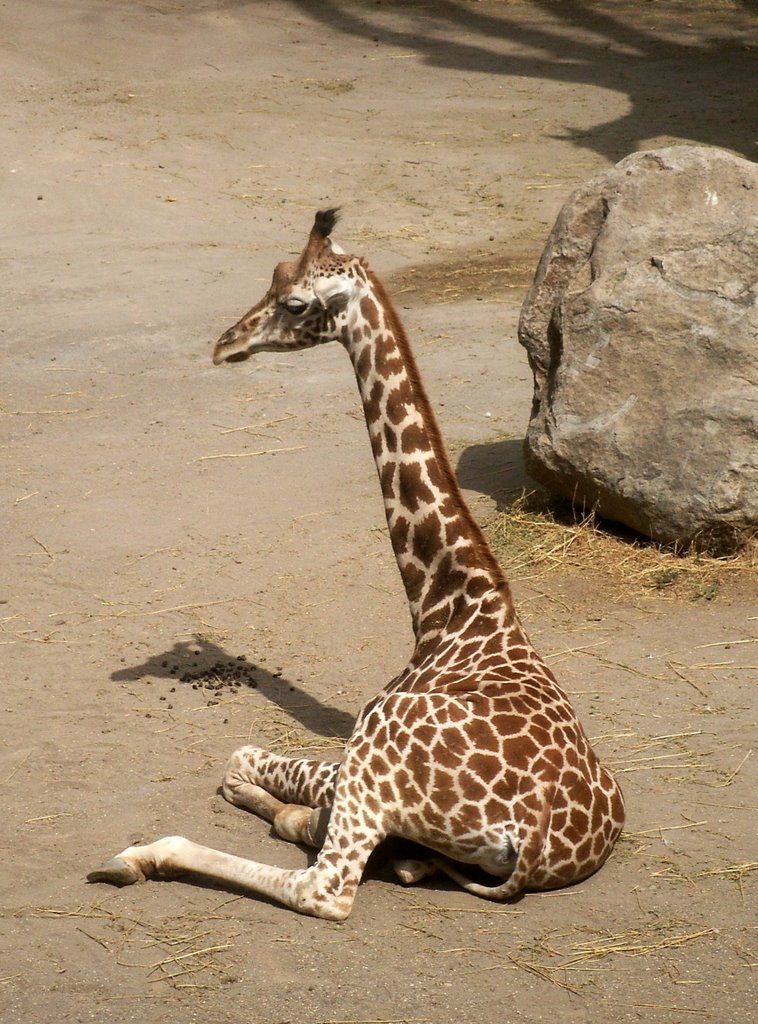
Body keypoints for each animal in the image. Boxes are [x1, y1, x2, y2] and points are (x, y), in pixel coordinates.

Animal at [88, 207, 622, 921]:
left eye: (294, 301)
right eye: (273, 276)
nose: (225, 344)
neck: (448, 605)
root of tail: (533, 837)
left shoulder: (352, 756)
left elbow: (239, 758)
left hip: (374, 760)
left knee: (326, 887)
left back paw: (143, 854)